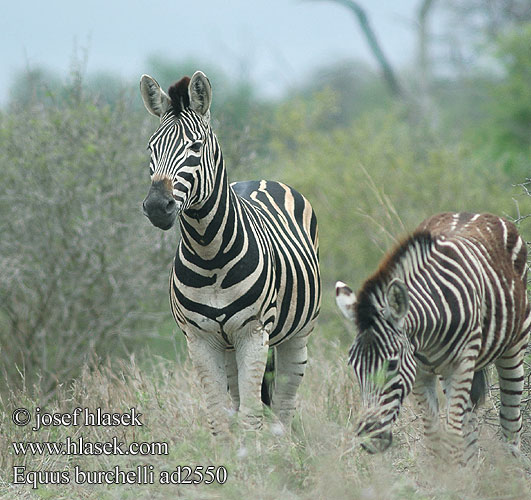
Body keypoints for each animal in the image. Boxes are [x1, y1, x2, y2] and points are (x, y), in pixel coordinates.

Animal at [140, 70, 320, 434]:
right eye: (152, 148)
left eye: (195, 147)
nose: (156, 206)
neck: (209, 253)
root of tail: (259, 179)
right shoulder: (200, 339)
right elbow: (220, 418)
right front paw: (233, 449)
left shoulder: (252, 332)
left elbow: (252, 415)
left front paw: (259, 451)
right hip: (227, 346)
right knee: (239, 400)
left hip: (297, 334)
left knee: (285, 400)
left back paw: (282, 441)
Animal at [336, 211, 531, 460]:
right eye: (354, 366)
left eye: (391, 365)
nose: (370, 439)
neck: (427, 334)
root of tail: (475, 213)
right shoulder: (419, 373)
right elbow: (434, 437)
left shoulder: (459, 366)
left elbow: (453, 433)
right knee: (470, 424)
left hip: (514, 348)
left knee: (511, 421)